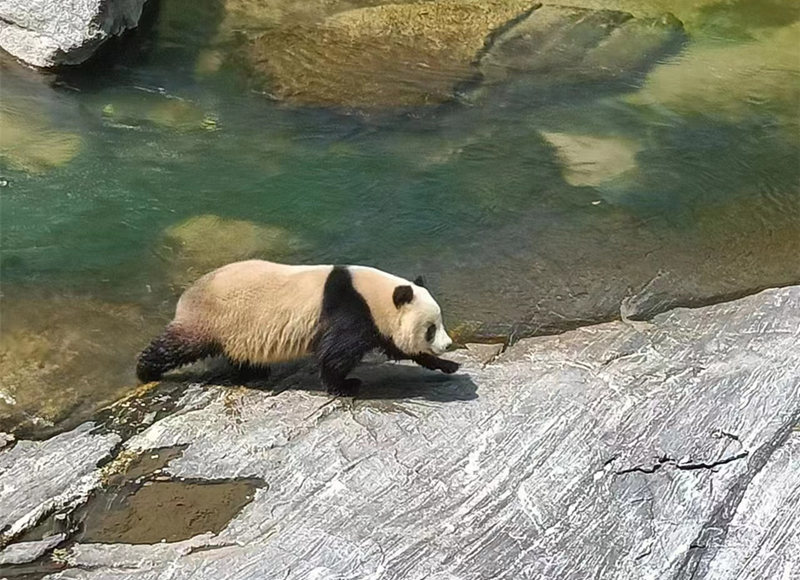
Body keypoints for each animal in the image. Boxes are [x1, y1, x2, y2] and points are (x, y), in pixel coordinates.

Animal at [138, 260, 460, 396]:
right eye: (431, 328)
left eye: (438, 324)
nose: (447, 344)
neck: (373, 294)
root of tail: (186, 295)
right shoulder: (350, 311)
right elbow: (334, 354)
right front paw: (345, 385)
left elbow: (397, 348)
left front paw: (448, 365)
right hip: (213, 319)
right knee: (179, 345)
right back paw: (145, 370)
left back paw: (254, 372)